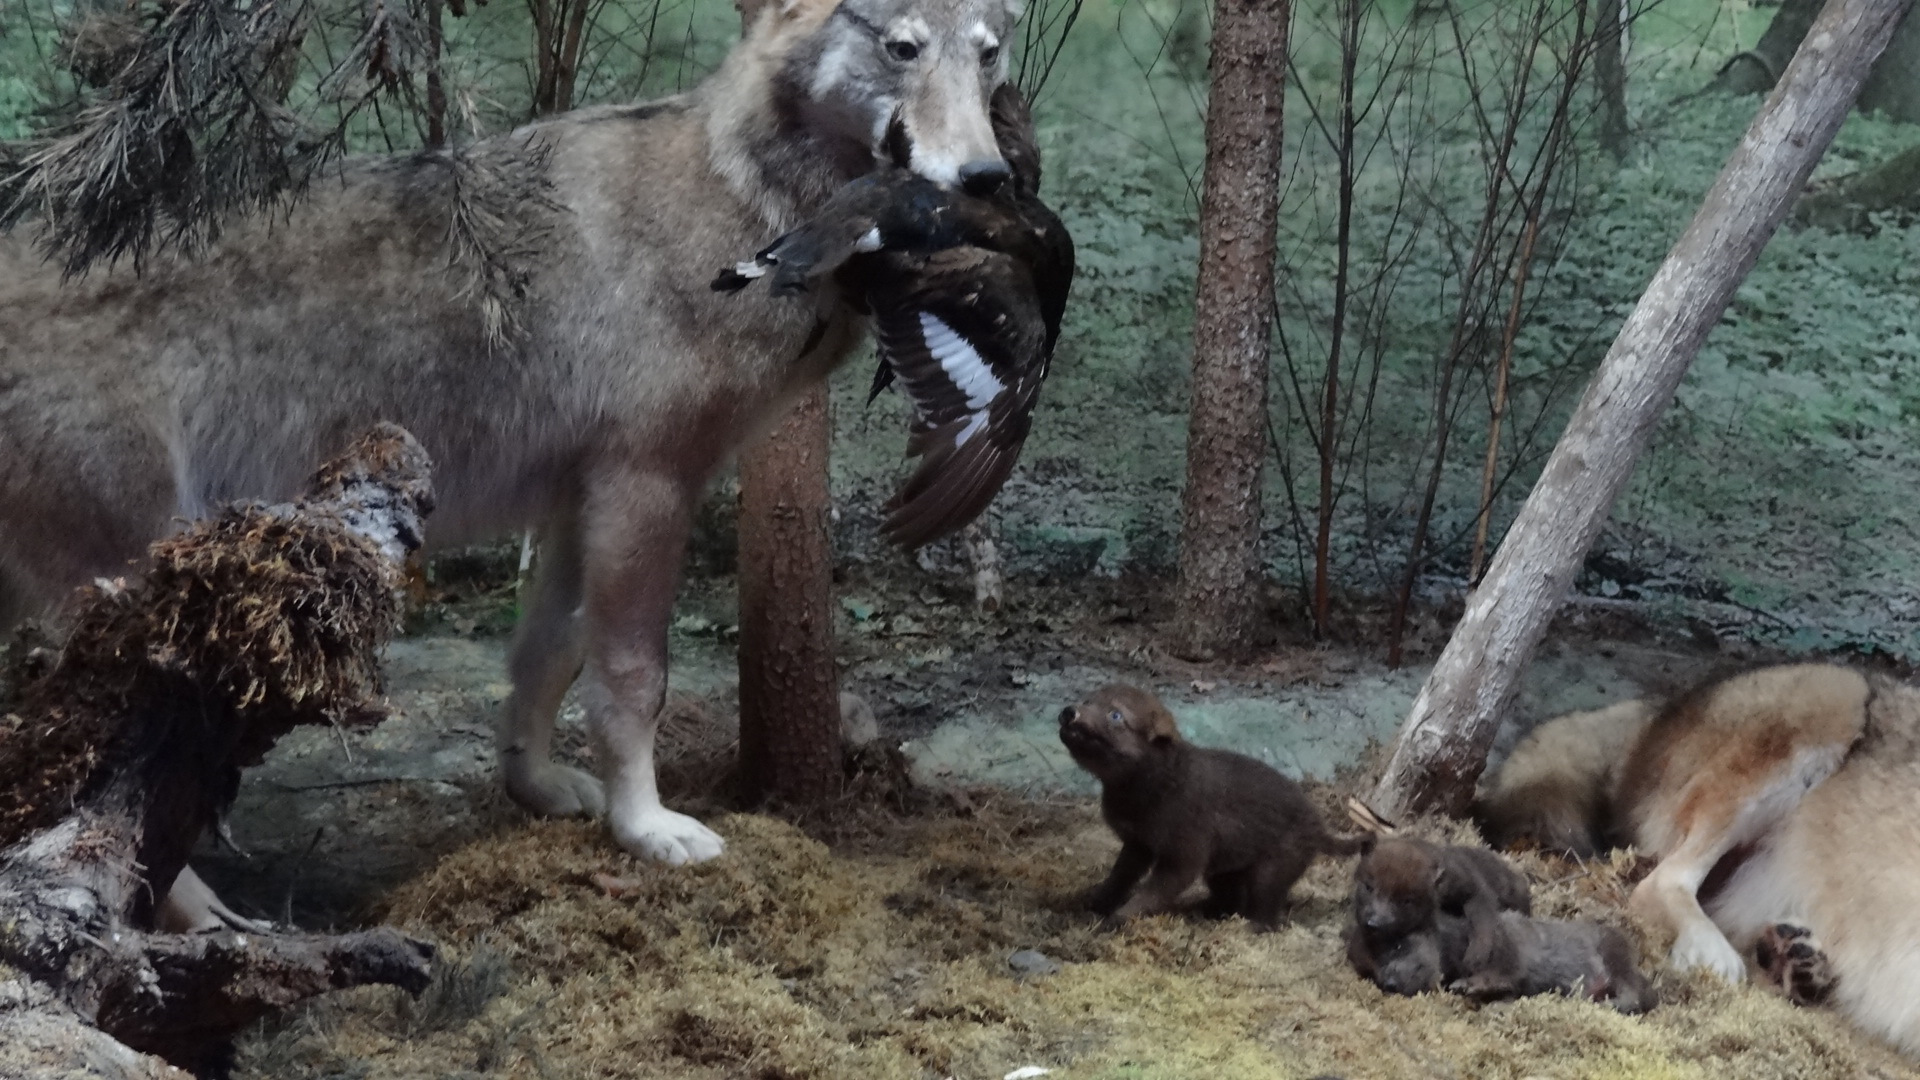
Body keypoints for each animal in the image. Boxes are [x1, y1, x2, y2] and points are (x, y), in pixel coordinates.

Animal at [3, 0, 1036, 922]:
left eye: (988, 51)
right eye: (903, 48)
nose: (987, 177)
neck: (750, 205)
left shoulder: (581, 499)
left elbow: (548, 656)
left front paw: (535, 789)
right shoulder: (647, 487)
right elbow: (632, 680)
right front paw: (645, 829)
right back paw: (182, 915)